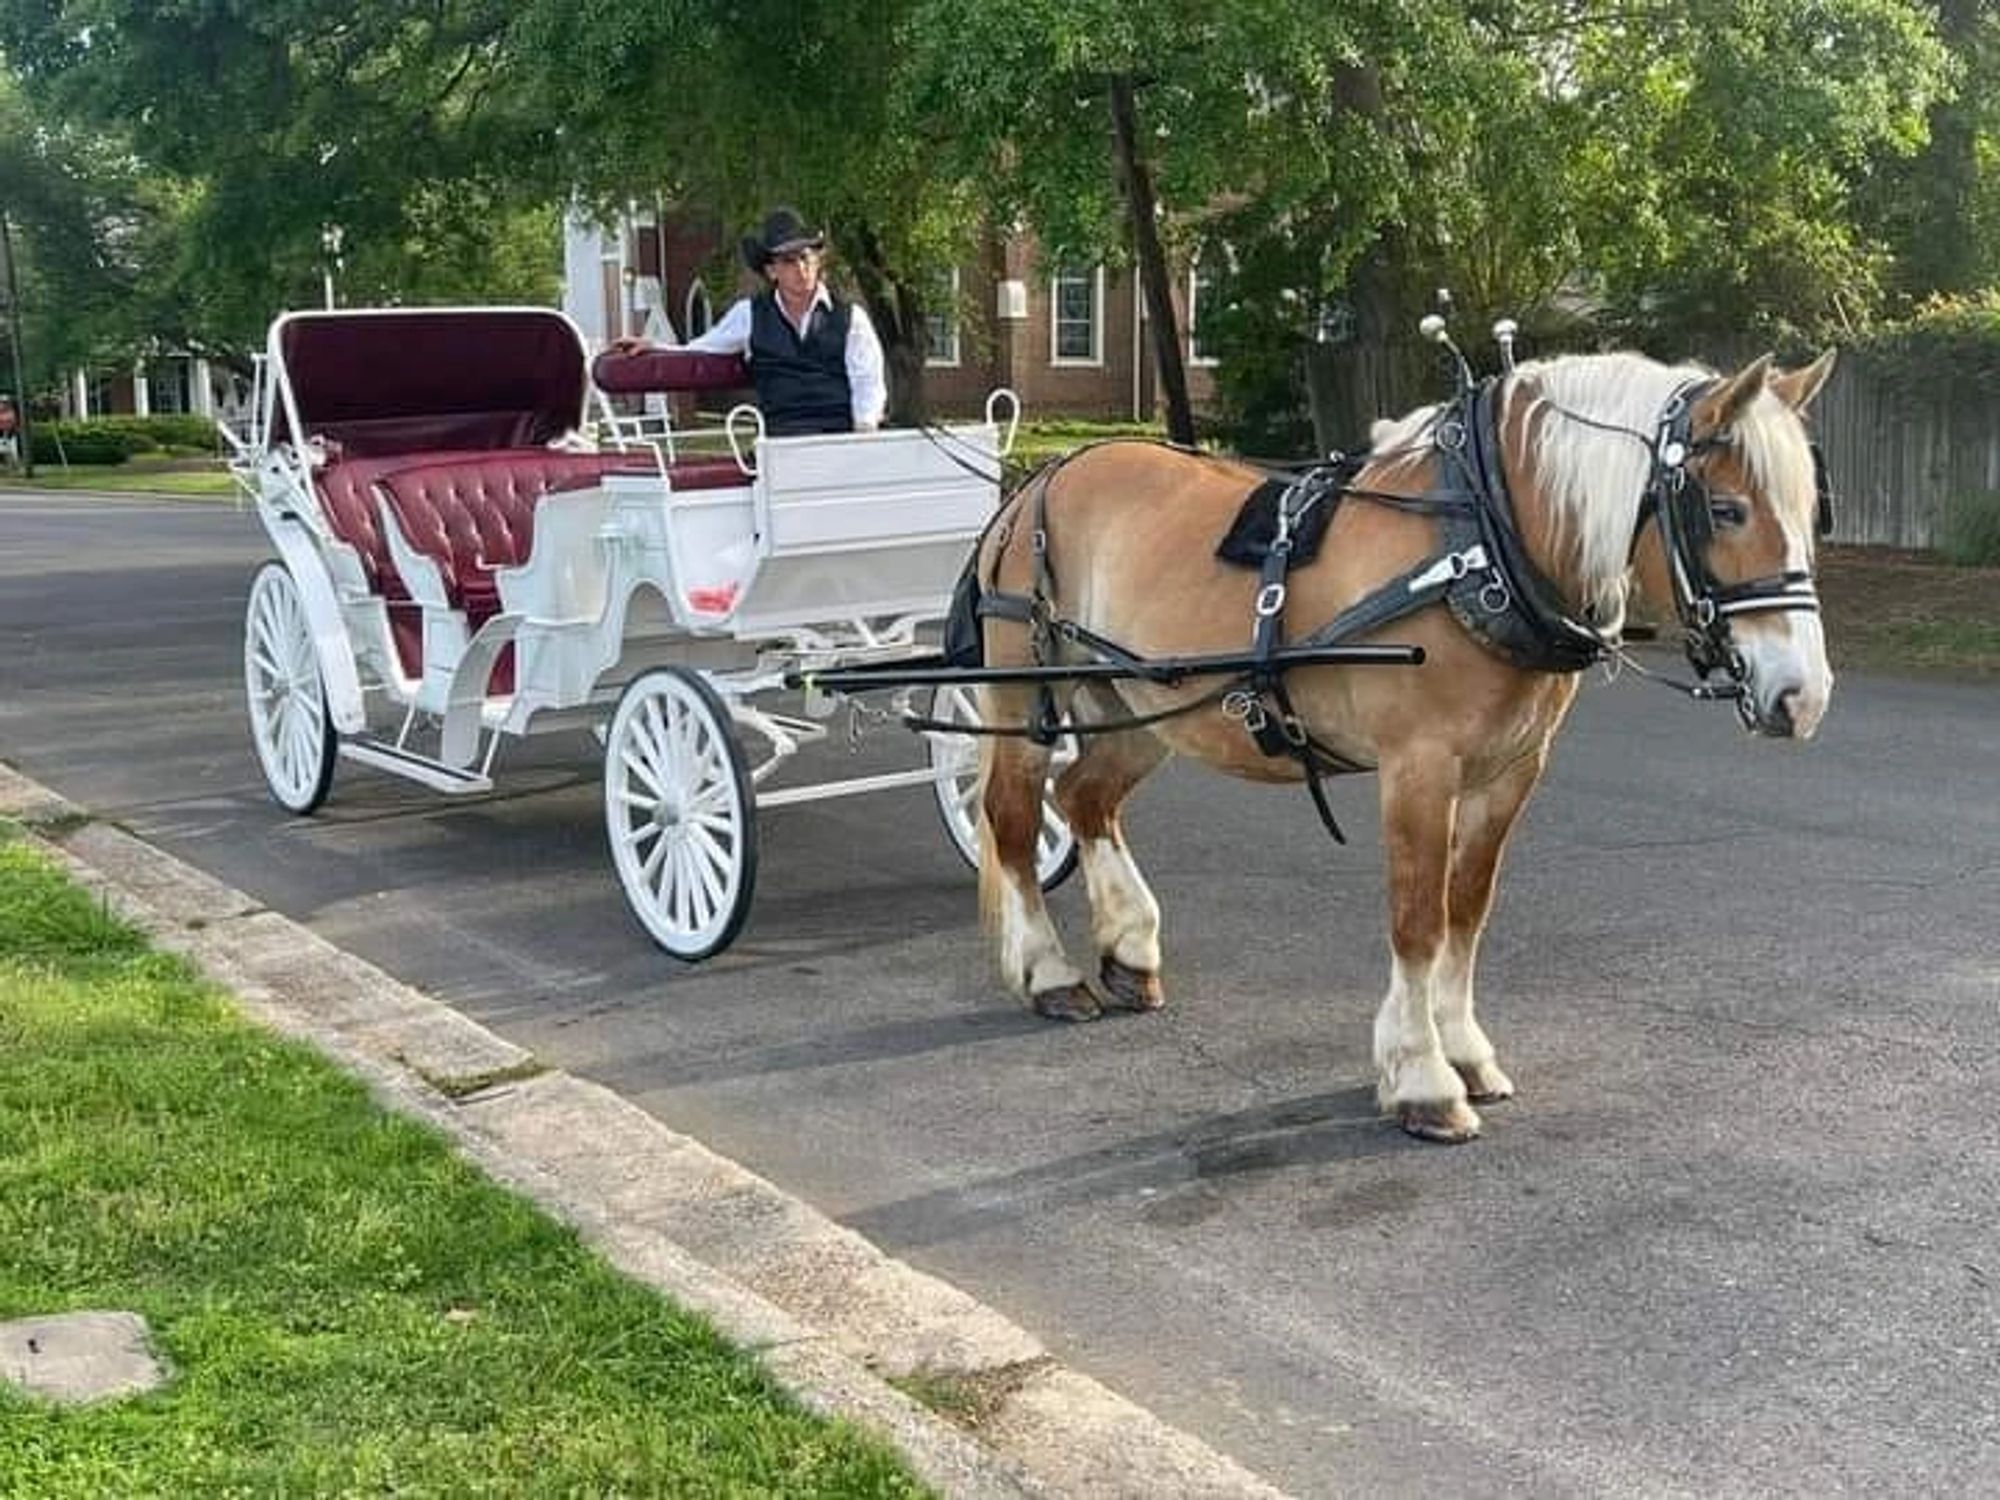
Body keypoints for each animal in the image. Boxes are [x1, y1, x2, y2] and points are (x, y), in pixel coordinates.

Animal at [970, 349, 1836, 1142]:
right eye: (1725, 509)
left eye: (1810, 508)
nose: (1803, 696)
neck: (1480, 546)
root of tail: (1044, 480)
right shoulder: (1419, 766)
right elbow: (1418, 917)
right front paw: (1421, 1076)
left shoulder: (1510, 771)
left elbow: (1467, 910)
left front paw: (1465, 1051)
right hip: (1023, 694)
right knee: (1014, 817)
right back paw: (1048, 973)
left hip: (1150, 706)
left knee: (1085, 798)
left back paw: (1131, 950)